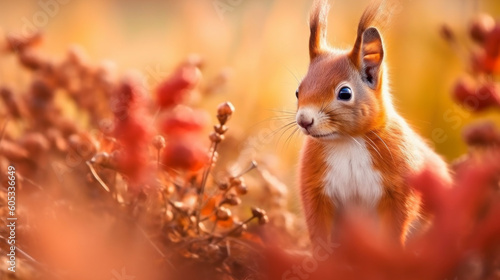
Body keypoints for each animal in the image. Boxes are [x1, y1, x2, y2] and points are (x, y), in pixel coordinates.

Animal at [294, 0, 452, 245]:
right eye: (297, 91)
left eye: (345, 93)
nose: (304, 120)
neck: (348, 142)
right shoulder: (314, 187)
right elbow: (318, 229)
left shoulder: (401, 186)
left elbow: (395, 229)